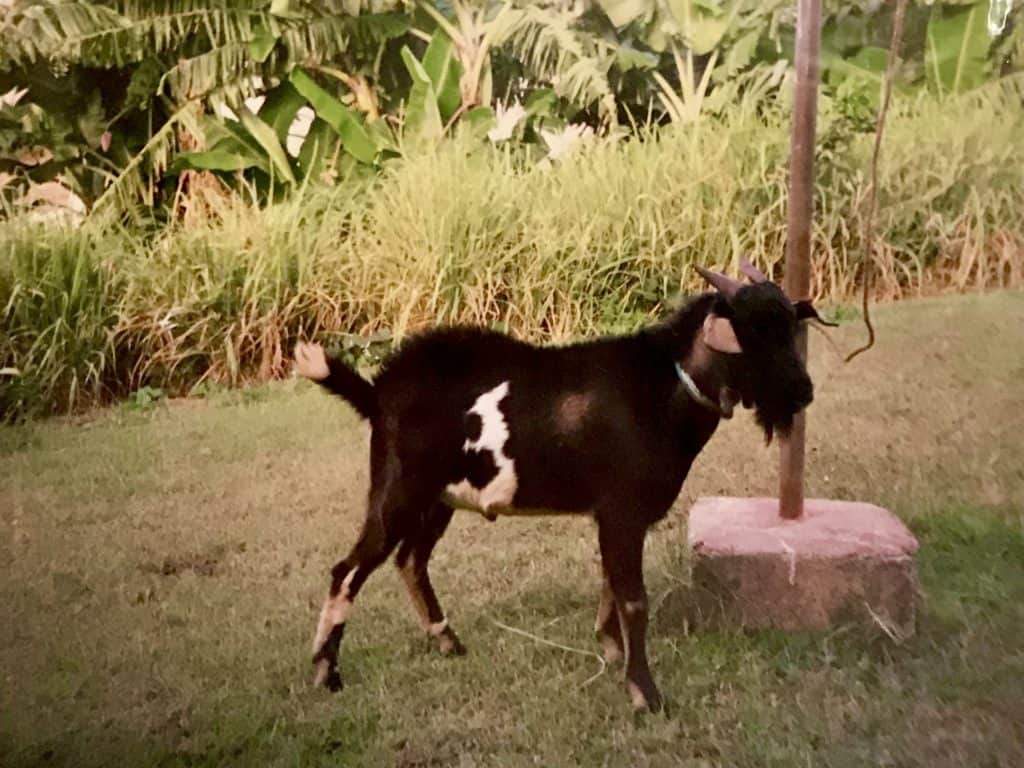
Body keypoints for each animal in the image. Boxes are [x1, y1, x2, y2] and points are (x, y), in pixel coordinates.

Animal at [294, 262, 823, 712]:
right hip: (398, 490)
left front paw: (611, 651)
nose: (803, 392)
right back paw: (326, 673)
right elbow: (634, 599)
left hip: (438, 499)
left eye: (789, 324)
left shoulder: (617, 517)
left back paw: (446, 641)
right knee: (349, 569)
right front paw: (645, 694)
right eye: (755, 332)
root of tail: (377, 393)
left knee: (410, 559)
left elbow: (611, 583)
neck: (663, 388)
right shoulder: (622, 511)